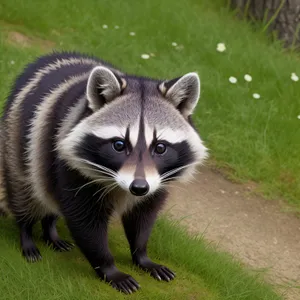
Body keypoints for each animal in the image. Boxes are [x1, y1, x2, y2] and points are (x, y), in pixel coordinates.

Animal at [0, 51, 209, 292]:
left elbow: (143, 217)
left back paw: (50, 230)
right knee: (25, 190)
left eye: (160, 147)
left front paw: (141, 255)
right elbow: (86, 223)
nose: (139, 187)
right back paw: (26, 233)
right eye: (118, 145)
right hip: (20, 147)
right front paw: (108, 268)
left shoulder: (157, 181)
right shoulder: (68, 164)